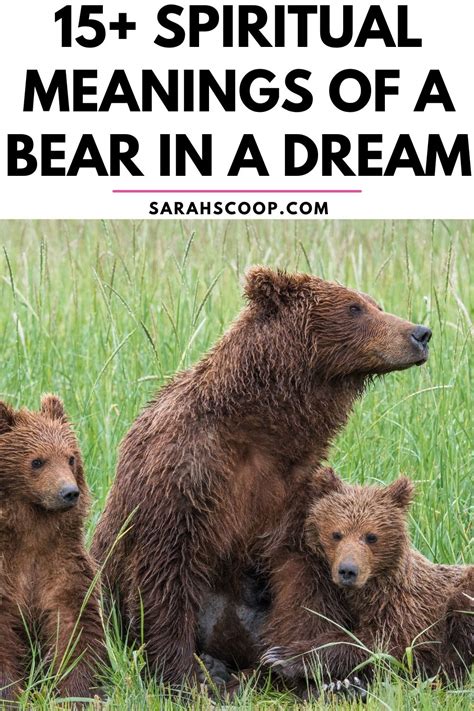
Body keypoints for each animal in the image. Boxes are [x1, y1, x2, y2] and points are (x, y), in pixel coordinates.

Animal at [0, 396, 105, 703]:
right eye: (37, 461)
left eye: (70, 457)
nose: (69, 492)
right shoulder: (7, 570)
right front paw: (10, 694)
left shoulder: (62, 567)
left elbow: (75, 628)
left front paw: (77, 693)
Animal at [92, 266, 432, 685]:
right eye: (355, 308)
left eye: (376, 304)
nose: (420, 333)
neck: (260, 429)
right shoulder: (184, 473)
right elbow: (166, 570)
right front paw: (186, 675)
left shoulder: (292, 489)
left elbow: (301, 577)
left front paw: (297, 662)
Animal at [263, 470, 473, 689]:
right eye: (336, 534)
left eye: (371, 536)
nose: (348, 570)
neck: (369, 593)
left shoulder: (408, 611)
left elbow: (383, 643)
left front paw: (285, 656)